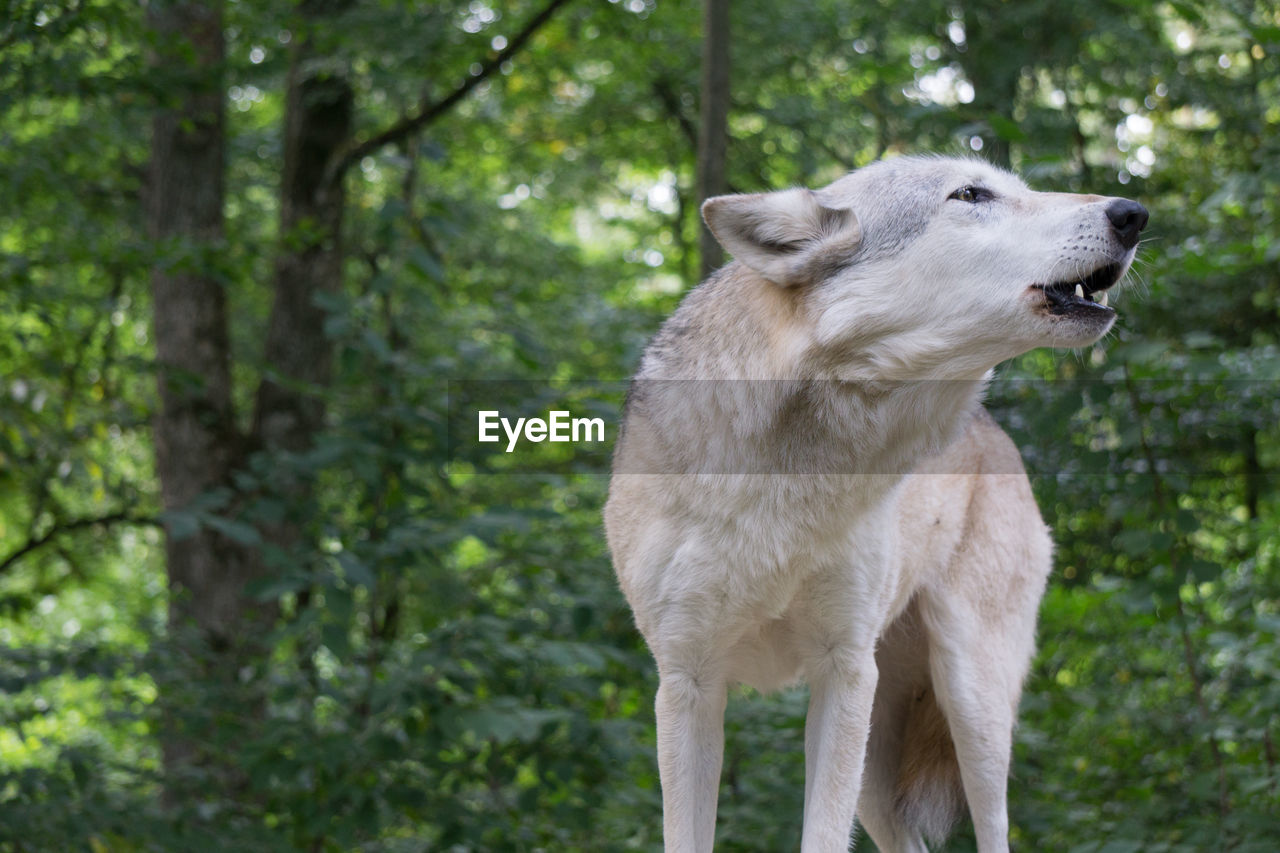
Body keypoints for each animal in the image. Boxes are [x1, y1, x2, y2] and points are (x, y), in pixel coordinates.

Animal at [601, 154, 1152, 850]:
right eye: (971, 194)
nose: (1133, 213)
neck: (789, 482)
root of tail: (993, 431)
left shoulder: (843, 672)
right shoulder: (687, 683)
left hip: (969, 707)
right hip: (879, 762)